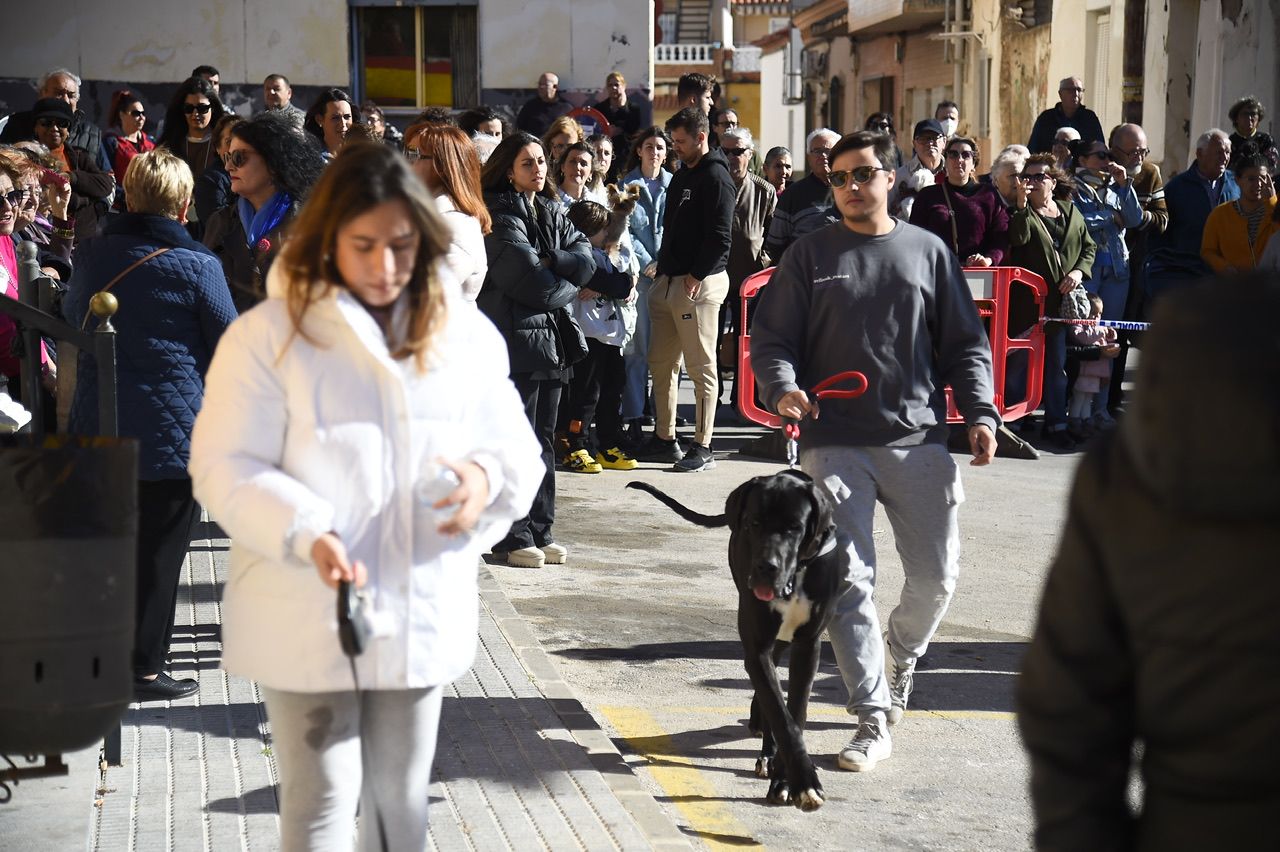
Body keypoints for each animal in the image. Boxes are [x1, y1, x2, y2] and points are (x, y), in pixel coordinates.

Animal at [627, 470, 844, 808]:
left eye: (794, 527)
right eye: (753, 523)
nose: (766, 567)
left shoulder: (808, 645)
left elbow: (795, 713)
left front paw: (790, 779)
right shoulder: (757, 648)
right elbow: (781, 716)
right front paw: (799, 781)